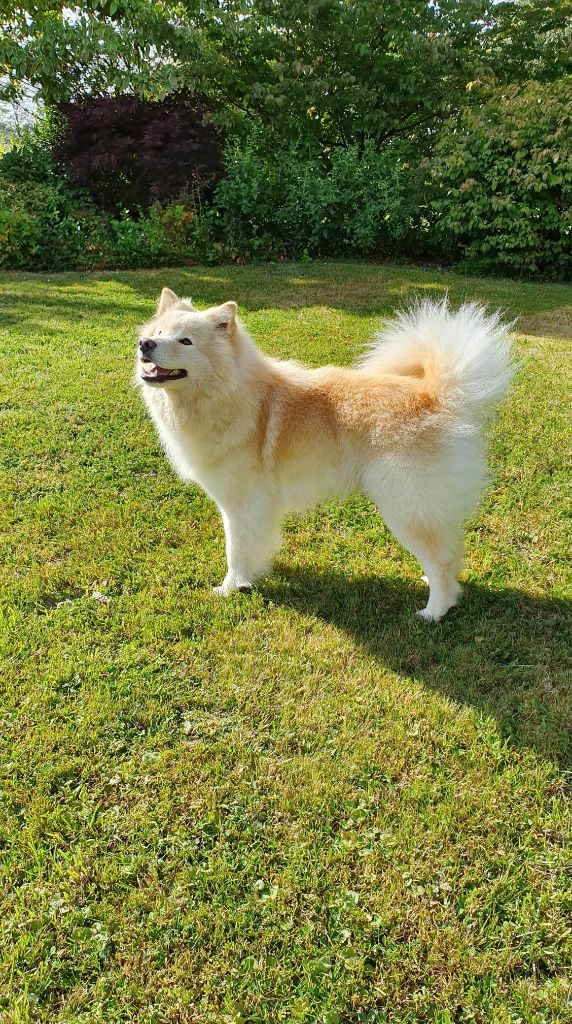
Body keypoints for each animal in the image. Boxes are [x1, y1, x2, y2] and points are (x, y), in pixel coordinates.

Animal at [136, 288, 513, 619]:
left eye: (185, 341)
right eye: (158, 333)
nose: (145, 344)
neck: (226, 395)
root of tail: (435, 396)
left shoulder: (242, 505)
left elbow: (236, 552)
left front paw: (231, 588)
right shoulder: (260, 509)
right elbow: (256, 546)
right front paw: (255, 575)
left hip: (405, 507)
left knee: (442, 562)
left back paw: (434, 611)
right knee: (450, 552)